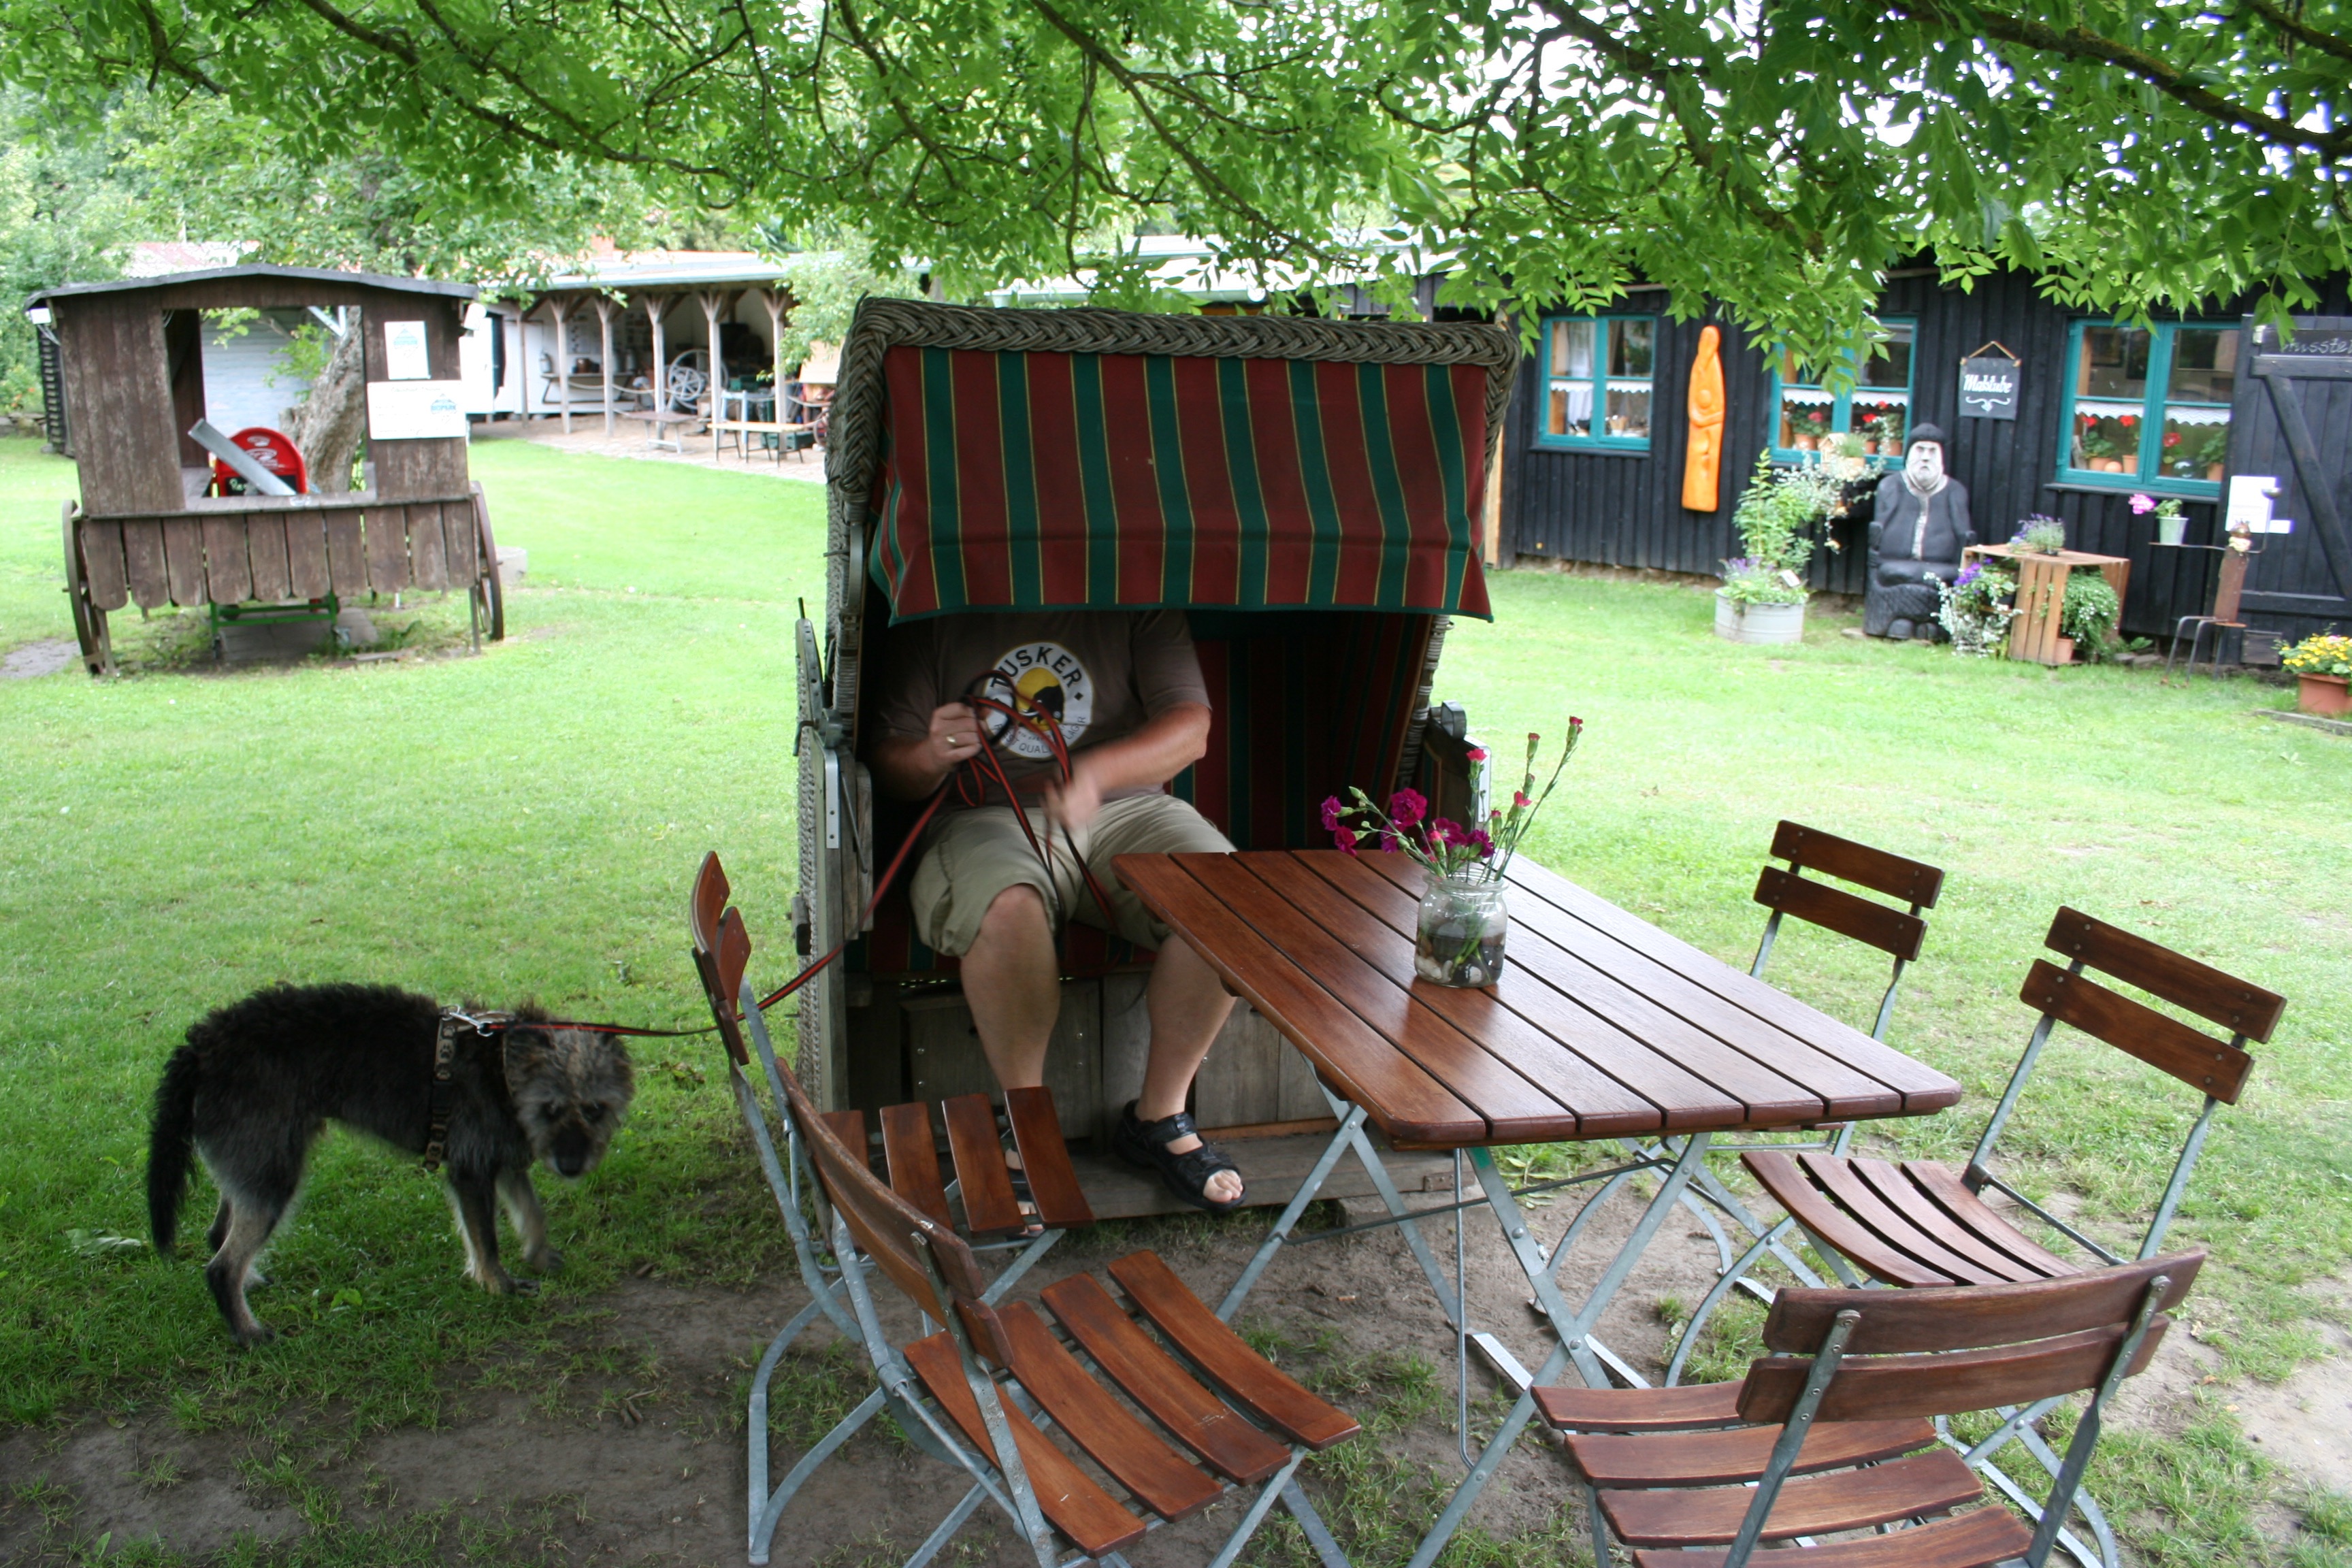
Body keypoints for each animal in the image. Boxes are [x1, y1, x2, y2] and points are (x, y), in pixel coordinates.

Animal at [147, 982, 635, 1344]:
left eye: (595, 1110)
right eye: (549, 1109)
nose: (571, 1165)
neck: (500, 1064)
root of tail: (202, 1045)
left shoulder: (505, 1162)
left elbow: (531, 1211)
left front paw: (538, 1255)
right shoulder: (471, 1171)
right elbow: (488, 1241)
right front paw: (500, 1286)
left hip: (257, 1165)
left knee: (218, 1236)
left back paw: (248, 1284)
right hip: (273, 1177)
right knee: (220, 1267)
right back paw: (247, 1331)